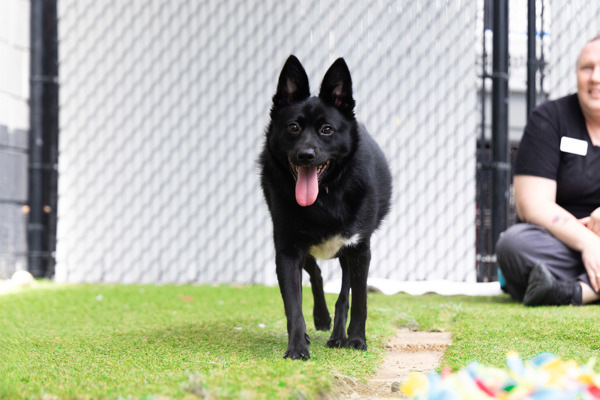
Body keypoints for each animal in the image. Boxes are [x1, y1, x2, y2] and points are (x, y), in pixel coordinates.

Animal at [258, 55, 394, 360]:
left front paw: (356, 340)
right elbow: (293, 306)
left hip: (347, 254)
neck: (325, 197)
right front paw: (297, 347)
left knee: (344, 293)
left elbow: (359, 300)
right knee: (316, 274)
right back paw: (320, 320)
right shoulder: (287, 250)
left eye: (327, 130)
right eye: (293, 127)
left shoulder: (360, 249)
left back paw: (338, 336)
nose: (305, 155)